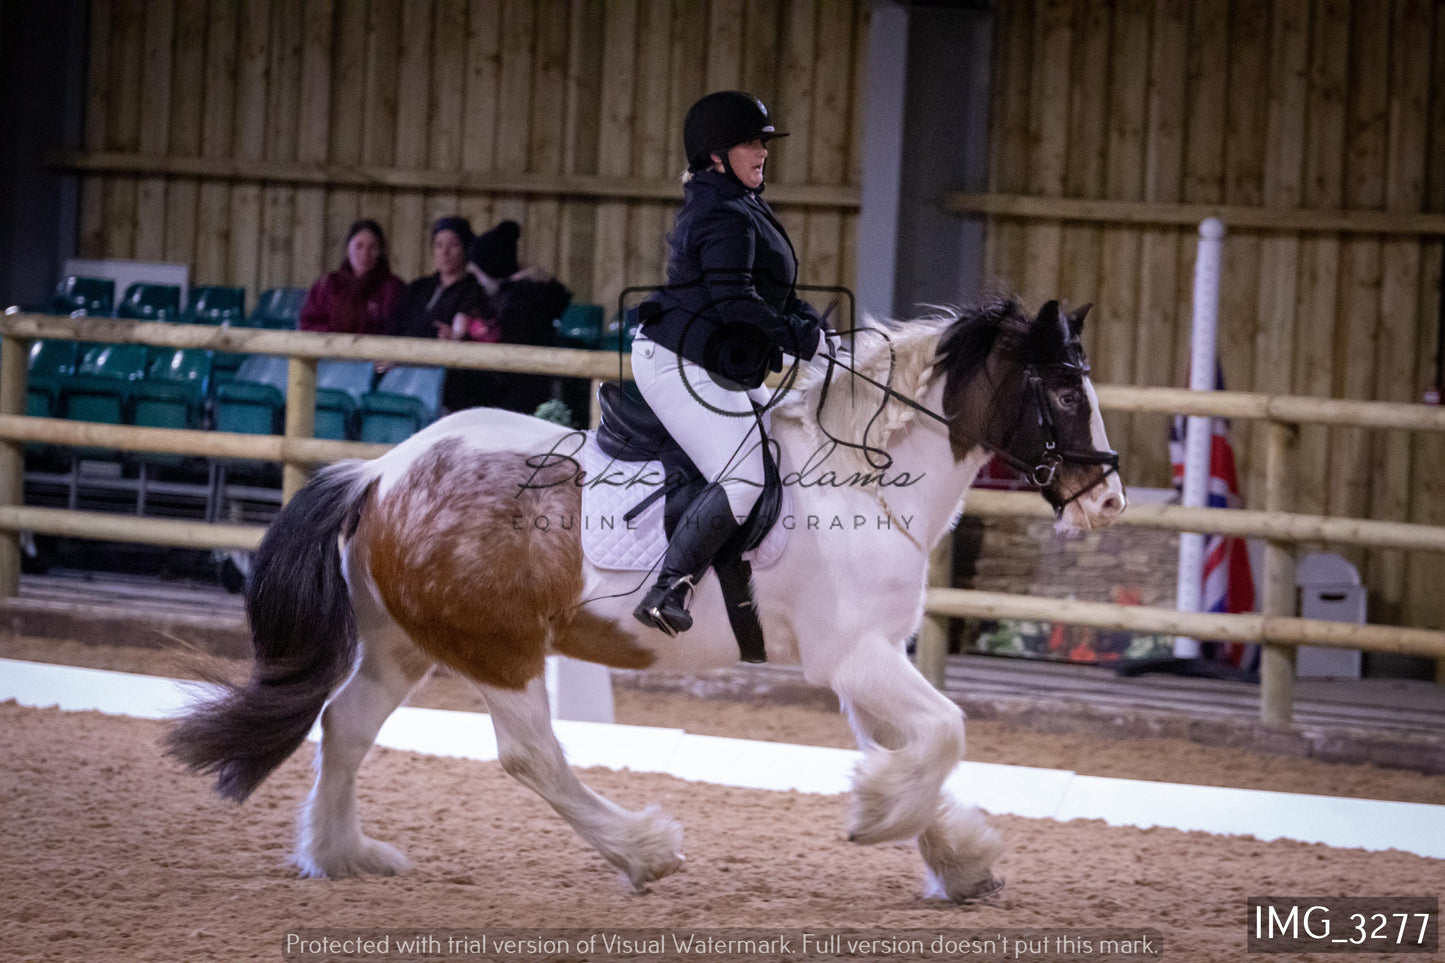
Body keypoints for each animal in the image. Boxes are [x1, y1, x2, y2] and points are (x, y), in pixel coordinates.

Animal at [164, 294, 1121, 902]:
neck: (865, 475)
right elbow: (944, 732)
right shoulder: (853, 654)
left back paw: (344, 855)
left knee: (347, 724)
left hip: (408, 642)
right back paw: (643, 849)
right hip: (496, 647)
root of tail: (383, 470)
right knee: (529, 755)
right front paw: (874, 813)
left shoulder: (869, 658)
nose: (1106, 498)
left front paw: (955, 859)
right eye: (1062, 390)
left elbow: (918, 743)